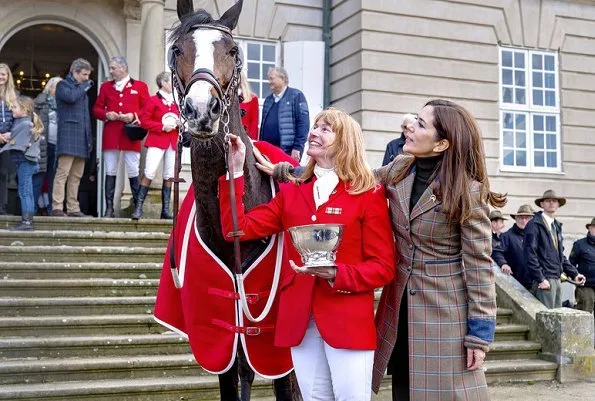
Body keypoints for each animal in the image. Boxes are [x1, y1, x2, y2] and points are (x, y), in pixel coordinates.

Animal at [165, 0, 300, 400]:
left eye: (234, 51)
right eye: (177, 50)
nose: (201, 110)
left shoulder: (274, 341)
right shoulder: (219, 336)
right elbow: (233, 372)